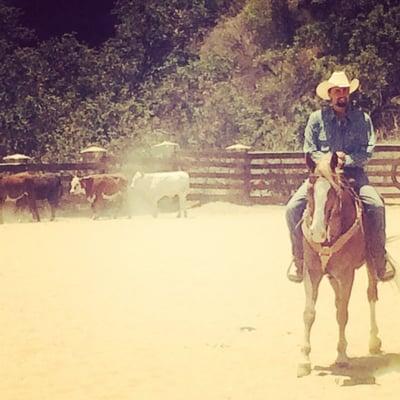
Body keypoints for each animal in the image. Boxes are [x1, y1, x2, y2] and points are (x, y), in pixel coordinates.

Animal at [296, 152, 382, 378]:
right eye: (310, 189)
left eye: (333, 192)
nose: (317, 232)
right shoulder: (312, 272)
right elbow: (309, 313)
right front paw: (304, 360)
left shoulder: (346, 274)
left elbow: (343, 314)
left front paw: (342, 356)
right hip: (331, 277)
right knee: (338, 301)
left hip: (369, 265)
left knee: (371, 295)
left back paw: (374, 341)